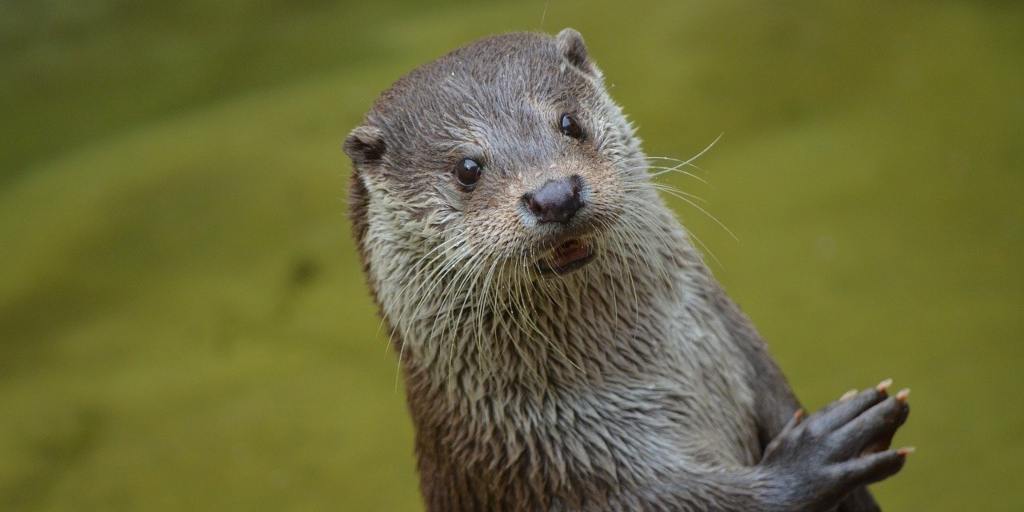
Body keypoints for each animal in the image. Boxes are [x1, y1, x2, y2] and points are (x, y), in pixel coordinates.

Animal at [344, 29, 913, 512]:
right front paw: (817, 456)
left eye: (569, 123)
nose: (555, 193)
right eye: (466, 168)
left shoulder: (742, 346)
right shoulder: (557, 470)